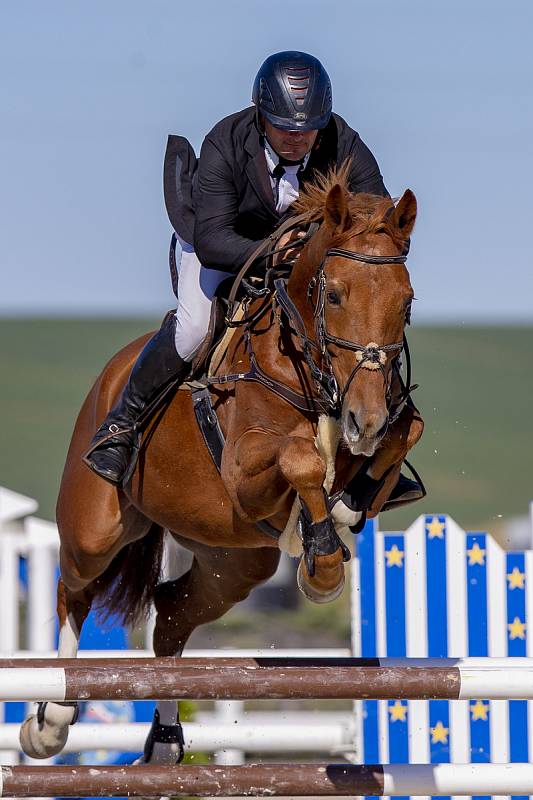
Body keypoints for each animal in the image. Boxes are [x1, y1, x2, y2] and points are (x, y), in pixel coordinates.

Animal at [19, 170, 420, 764]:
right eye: (333, 294)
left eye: (406, 301)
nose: (363, 421)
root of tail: (112, 374)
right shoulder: (245, 472)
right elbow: (302, 459)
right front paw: (323, 565)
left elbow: (406, 430)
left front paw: (346, 509)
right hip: (97, 528)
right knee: (75, 591)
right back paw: (50, 720)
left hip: (232, 561)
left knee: (170, 615)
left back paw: (164, 742)